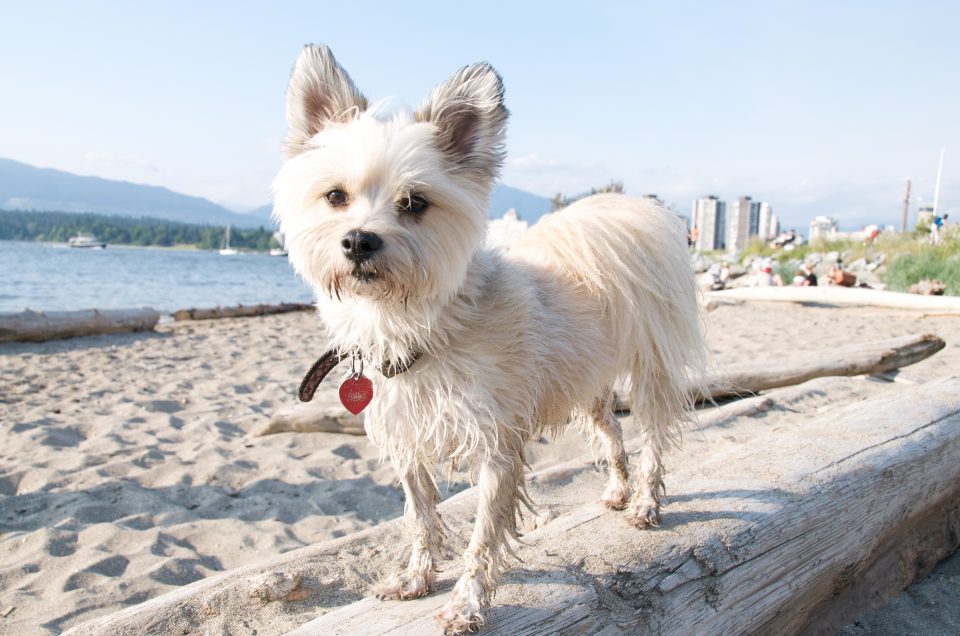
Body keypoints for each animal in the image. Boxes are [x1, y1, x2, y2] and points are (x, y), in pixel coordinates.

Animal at [270, 43, 704, 632]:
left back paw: (645, 504)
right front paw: (418, 578)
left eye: (415, 203)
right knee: (612, 433)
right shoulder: (409, 444)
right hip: (586, 383)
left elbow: (481, 537)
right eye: (335, 196)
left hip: (650, 370)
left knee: (654, 437)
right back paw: (617, 490)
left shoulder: (497, 449)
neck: (425, 325)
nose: (359, 240)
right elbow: (421, 517)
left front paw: (468, 603)